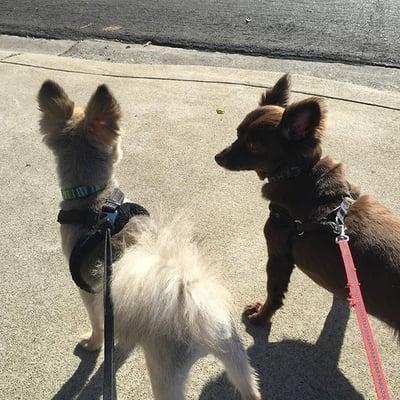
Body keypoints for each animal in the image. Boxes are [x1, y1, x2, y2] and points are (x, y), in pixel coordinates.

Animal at [38, 79, 262, 400]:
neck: (95, 200)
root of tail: (203, 321)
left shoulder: (88, 291)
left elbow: (97, 323)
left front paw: (93, 344)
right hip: (237, 358)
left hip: (165, 374)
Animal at [217, 73, 400, 332]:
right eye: (237, 132)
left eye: (253, 145)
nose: (218, 157)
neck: (300, 174)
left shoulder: (279, 255)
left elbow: (274, 293)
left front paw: (261, 317)